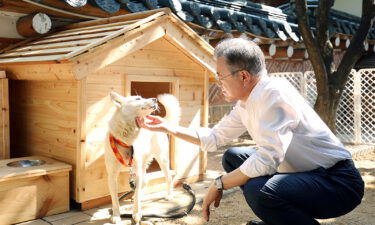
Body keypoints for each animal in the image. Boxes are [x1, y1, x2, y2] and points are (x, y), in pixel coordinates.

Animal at [104, 92, 181, 225]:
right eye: (137, 98)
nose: (155, 99)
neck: (126, 140)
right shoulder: (112, 175)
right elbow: (114, 199)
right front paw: (116, 215)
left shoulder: (137, 171)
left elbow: (137, 197)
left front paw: (136, 213)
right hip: (144, 164)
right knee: (144, 183)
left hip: (162, 160)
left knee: (168, 179)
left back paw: (169, 195)